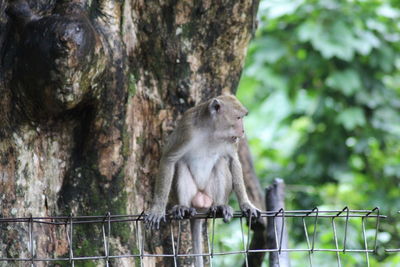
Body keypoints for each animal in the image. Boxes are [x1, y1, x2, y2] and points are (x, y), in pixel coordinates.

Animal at [145, 94, 260, 267]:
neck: (211, 131)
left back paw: (219, 207)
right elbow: (169, 159)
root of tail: (200, 206)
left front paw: (247, 205)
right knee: (180, 164)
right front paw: (157, 209)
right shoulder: (187, 129)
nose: (243, 131)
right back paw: (183, 208)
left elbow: (233, 161)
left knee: (220, 162)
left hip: (210, 196)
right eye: (238, 117)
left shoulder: (231, 140)